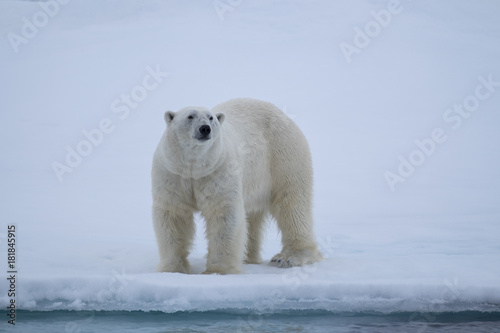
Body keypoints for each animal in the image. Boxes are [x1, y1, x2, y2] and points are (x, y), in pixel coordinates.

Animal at [152, 97, 322, 274]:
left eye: (211, 118)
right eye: (190, 116)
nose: (205, 128)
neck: (195, 167)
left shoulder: (219, 170)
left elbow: (224, 214)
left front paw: (218, 271)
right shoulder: (173, 173)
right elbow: (174, 215)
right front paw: (172, 269)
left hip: (282, 156)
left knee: (292, 205)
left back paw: (289, 257)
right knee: (253, 217)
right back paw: (248, 257)